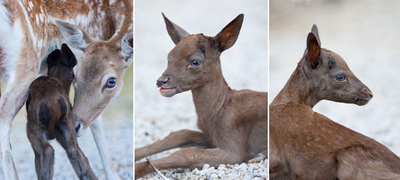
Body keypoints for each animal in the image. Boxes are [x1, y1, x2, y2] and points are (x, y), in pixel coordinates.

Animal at [135, 13, 268, 177]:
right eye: (169, 57)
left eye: (195, 62)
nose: (161, 81)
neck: (221, 109)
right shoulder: (210, 136)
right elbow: (181, 134)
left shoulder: (235, 147)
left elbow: (186, 153)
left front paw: (136, 169)